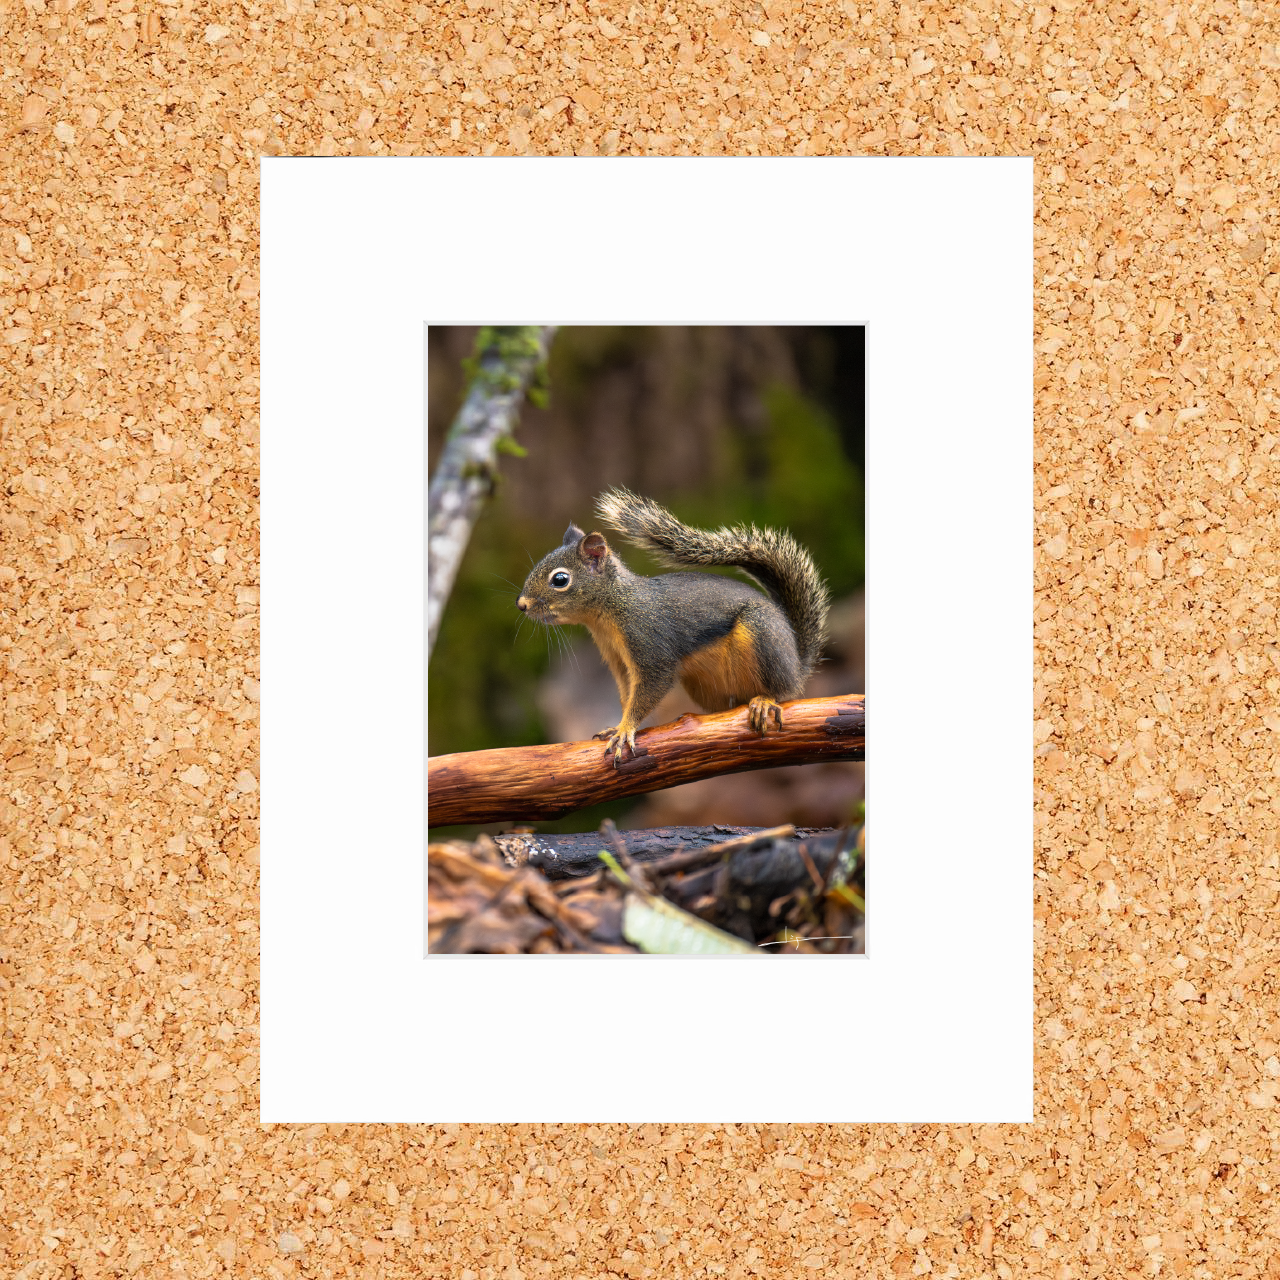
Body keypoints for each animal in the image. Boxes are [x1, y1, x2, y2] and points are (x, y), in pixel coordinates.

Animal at [517, 487, 830, 767]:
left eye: (560, 580)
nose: (521, 604)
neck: (612, 608)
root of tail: (797, 663)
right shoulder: (619, 660)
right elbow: (627, 693)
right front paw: (617, 726)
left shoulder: (649, 644)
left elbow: (649, 688)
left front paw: (625, 730)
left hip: (763, 635)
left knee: (782, 689)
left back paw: (765, 701)